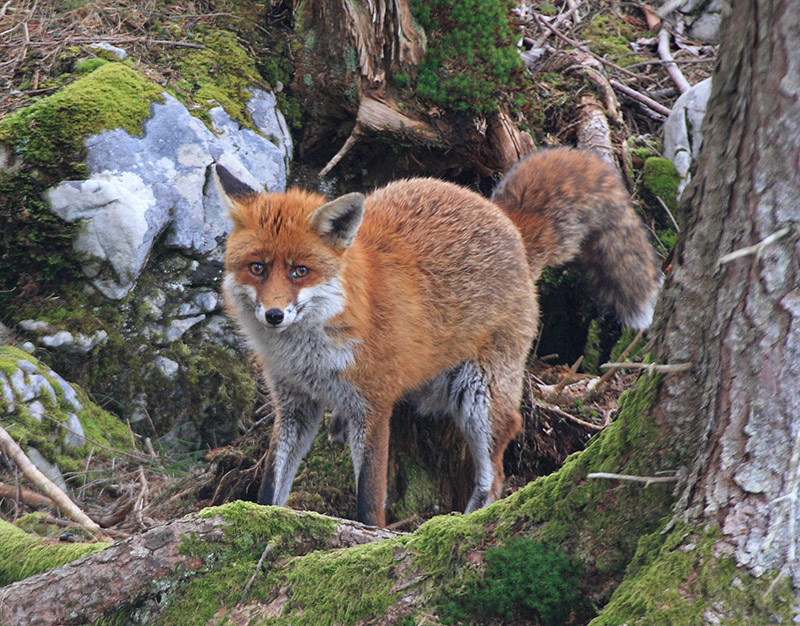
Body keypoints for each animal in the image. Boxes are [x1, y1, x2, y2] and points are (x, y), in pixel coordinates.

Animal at [216, 149, 660, 524]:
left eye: (299, 271)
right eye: (257, 268)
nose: (274, 315)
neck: (309, 351)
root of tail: (506, 221)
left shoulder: (373, 405)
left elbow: (369, 495)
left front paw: (368, 538)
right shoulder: (295, 403)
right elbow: (272, 482)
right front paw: (260, 515)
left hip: (480, 396)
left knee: (495, 473)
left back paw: (462, 522)